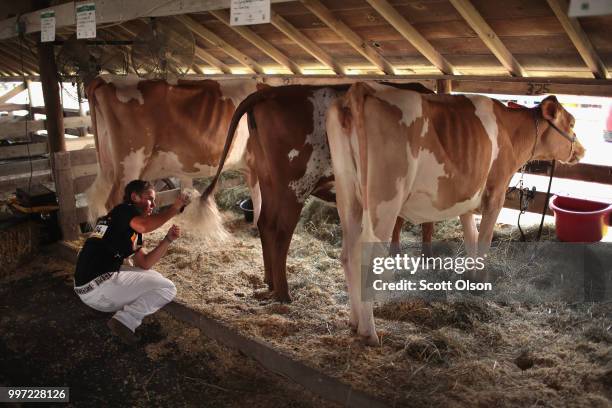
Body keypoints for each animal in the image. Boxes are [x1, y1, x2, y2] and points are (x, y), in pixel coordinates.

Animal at [201, 82, 436, 302]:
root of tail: (273, 91)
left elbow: (398, 225)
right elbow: (426, 226)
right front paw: (427, 261)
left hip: (267, 179)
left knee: (265, 223)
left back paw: (270, 281)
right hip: (296, 186)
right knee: (281, 232)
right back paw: (283, 293)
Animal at [328, 82, 584, 344]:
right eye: (572, 122)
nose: (582, 150)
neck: (509, 131)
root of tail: (363, 88)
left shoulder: (467, 202)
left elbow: (471, 239)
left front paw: (472, 279)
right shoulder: (496, 194)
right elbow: (484, 241)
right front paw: (481, 281)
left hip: (347, 194)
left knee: (348, 255)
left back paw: (354, 322)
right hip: (386, 198)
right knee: (366, 258)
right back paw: (369, 332)